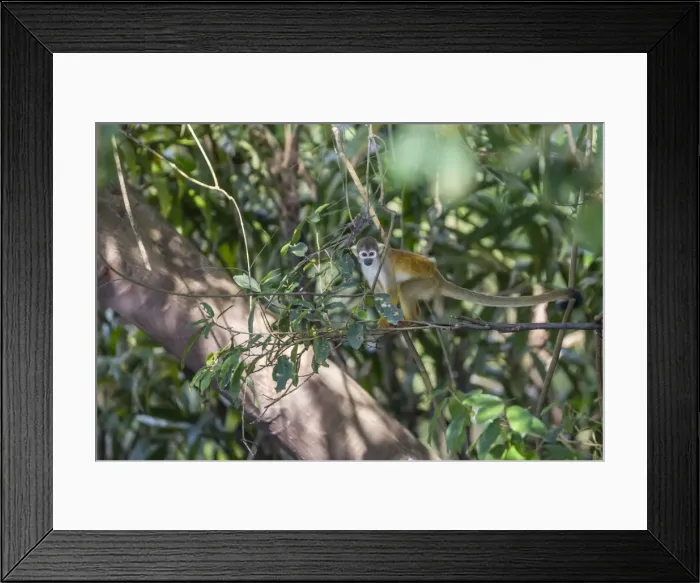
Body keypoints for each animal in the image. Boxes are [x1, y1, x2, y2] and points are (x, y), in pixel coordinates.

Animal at [350, 236, 582, 327]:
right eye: (364, 255)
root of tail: (439, 277)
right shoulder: (367, 270)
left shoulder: (384, 264)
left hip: (427, 284)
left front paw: (385, 320)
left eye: (372, 253)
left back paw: (411, 319)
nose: (368, 259)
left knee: (404, 288)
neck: (374, 264)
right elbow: (380, 292)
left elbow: (391, 291)